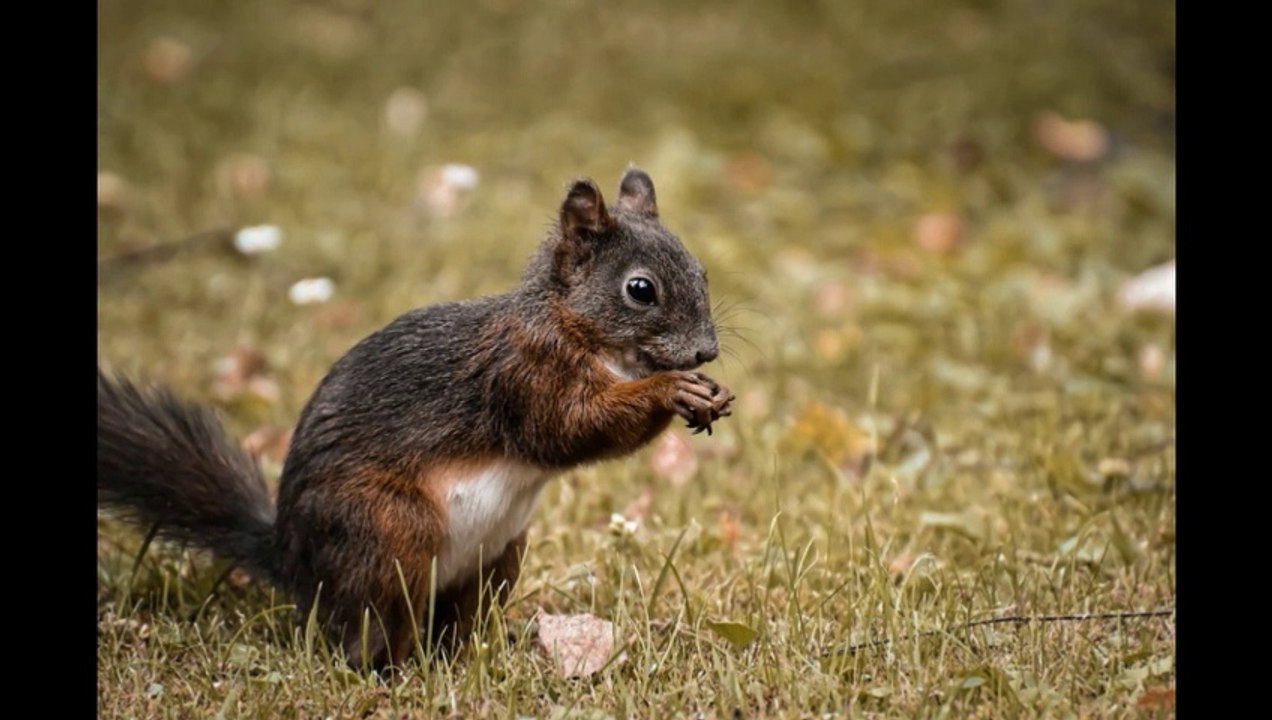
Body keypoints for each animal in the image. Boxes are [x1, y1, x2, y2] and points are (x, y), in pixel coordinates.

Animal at [98, 168, 735, 670]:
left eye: (702, 271)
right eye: (640, 289)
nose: (706, 351)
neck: (575, 329)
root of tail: (295, 563)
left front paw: (711, 393)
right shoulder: (523, 376)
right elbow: (571, 429)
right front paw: (670, 390)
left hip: (498, 558)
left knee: (451, 624)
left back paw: (475, 655)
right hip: (389, 532)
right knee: (370, 631)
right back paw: (394, 671)